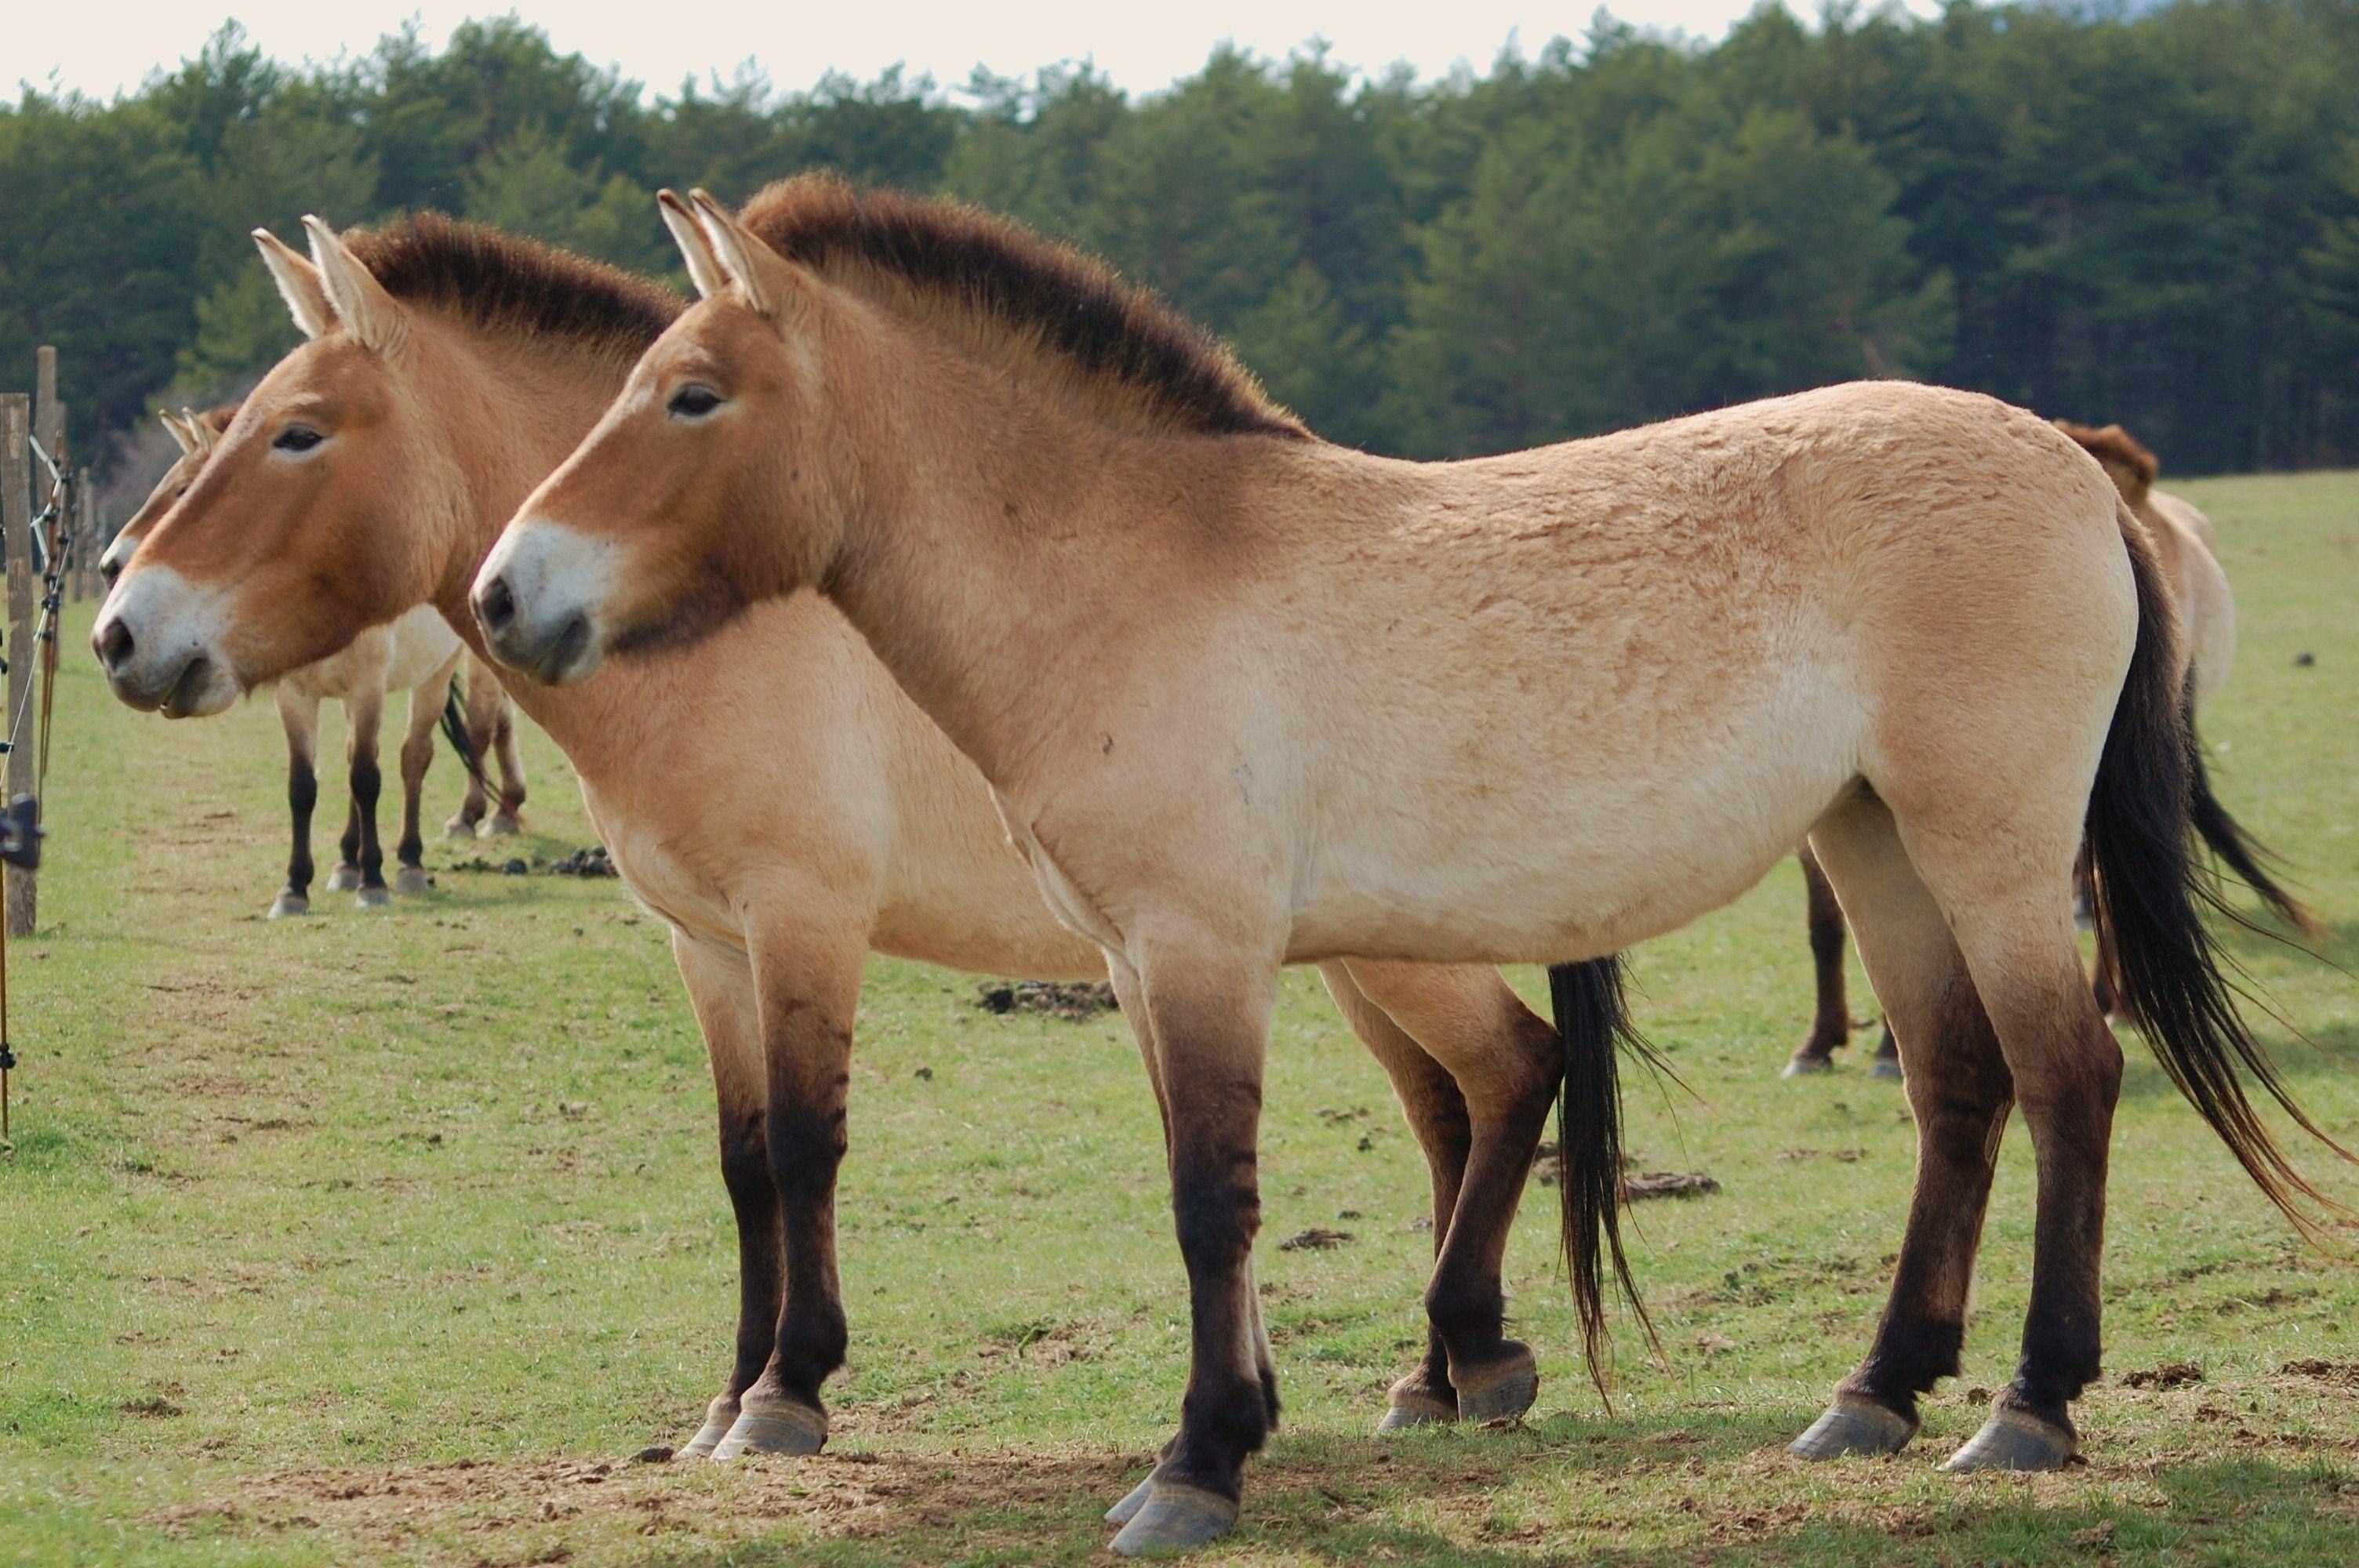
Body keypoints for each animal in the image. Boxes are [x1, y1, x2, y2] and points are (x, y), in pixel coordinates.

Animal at [102, 410, 525, 909]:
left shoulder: (367, 687)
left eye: (184, 489)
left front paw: (373, 880)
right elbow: (304, 785)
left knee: (419, 755)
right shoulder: (296, 695)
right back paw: (350, 860)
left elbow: (367, 777)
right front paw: (296, 887)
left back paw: (414, 858)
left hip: (436, 675)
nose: (111, 565)